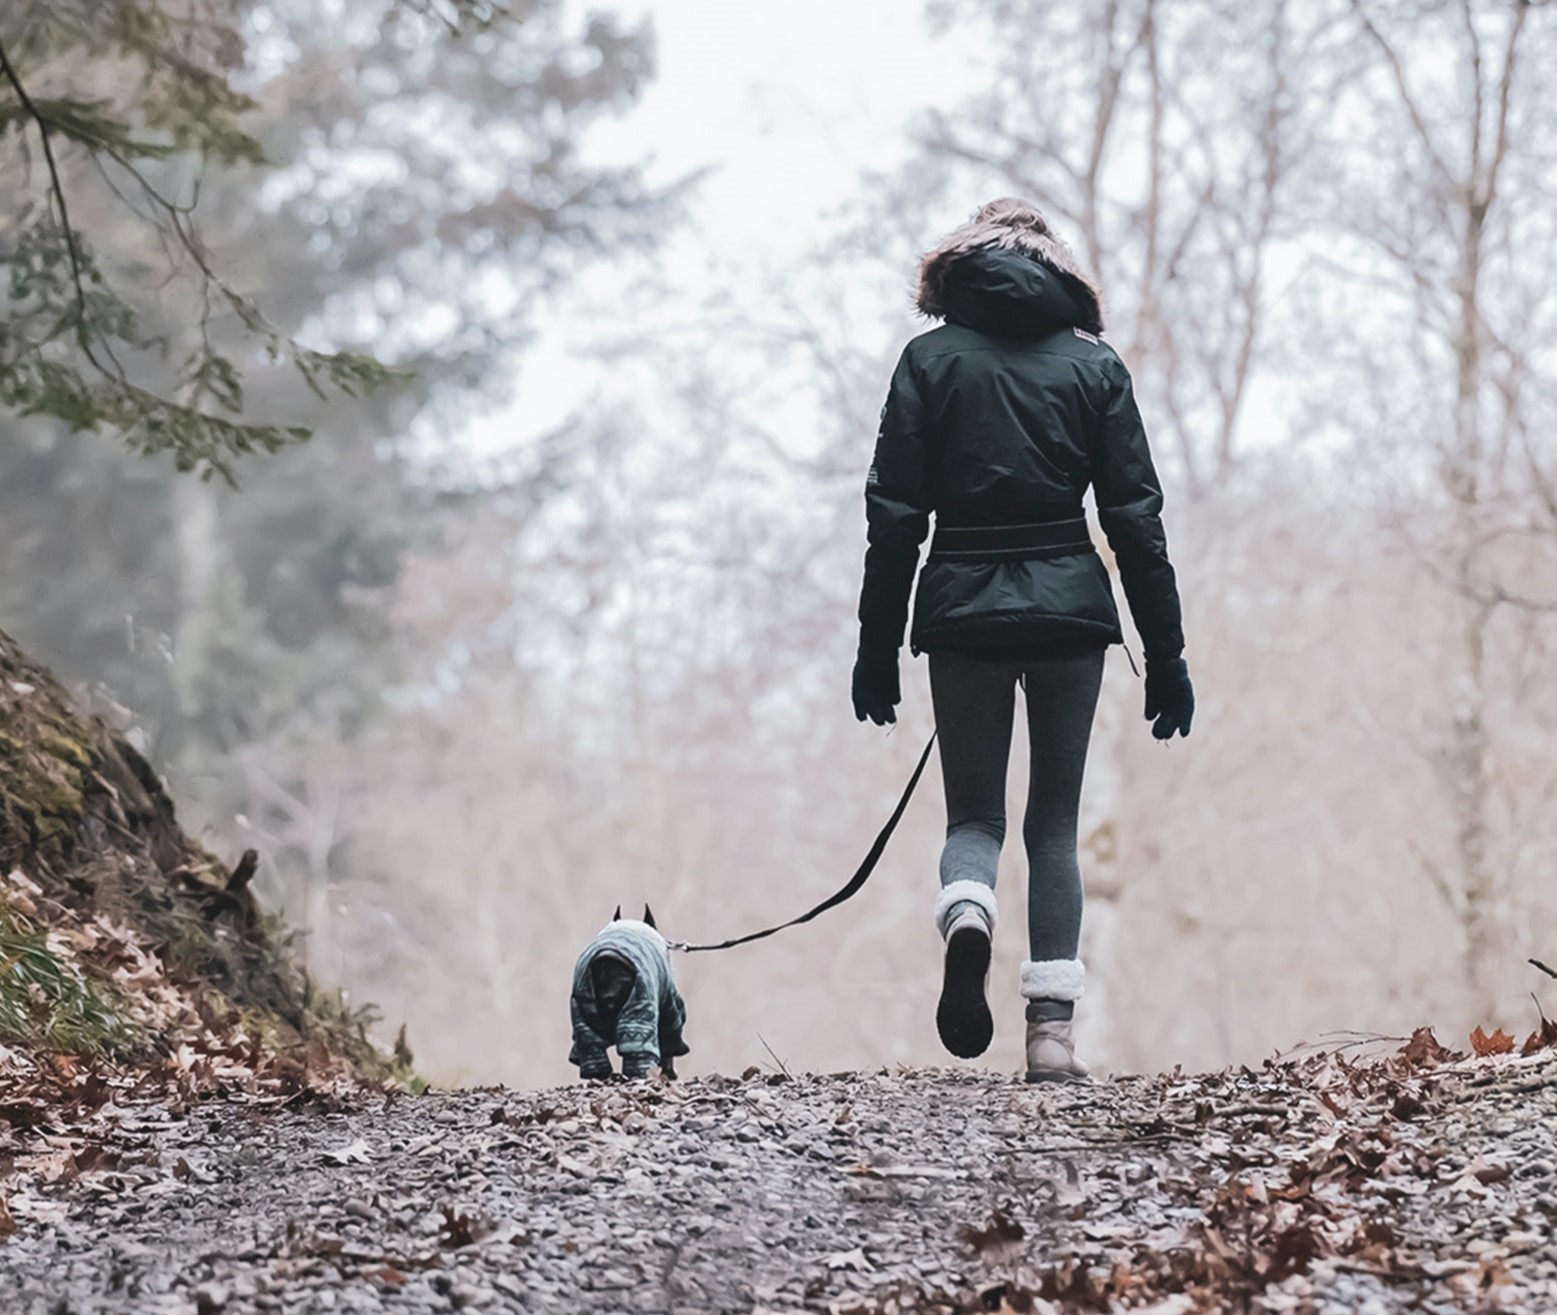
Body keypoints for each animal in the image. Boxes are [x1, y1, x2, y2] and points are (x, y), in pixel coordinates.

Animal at [569, 902, 691, 1076]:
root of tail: (606, 960)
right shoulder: (670, 1006)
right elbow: (669, 1043)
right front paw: (669, 1072)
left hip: (582, 1006)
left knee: (591, 1046)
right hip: (640, 1003)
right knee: (639, 1051)